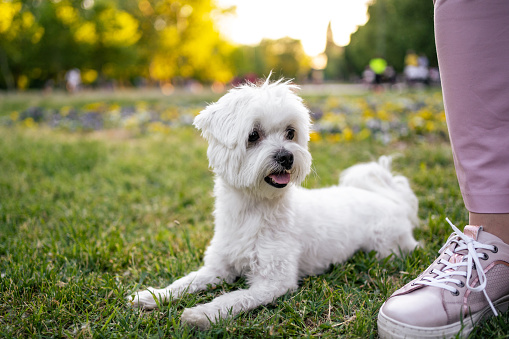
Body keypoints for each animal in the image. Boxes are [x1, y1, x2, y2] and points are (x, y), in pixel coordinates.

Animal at [129, 79, 418, 330]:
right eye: (253, 135)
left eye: (291, 133)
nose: (286, 156)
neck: (252, 210)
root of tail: (392, 199)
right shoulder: (218, 267)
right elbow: (186, 281)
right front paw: (152, 295)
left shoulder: (274, 281)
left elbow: (233, 298)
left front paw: (202, 314)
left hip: (386, 246)